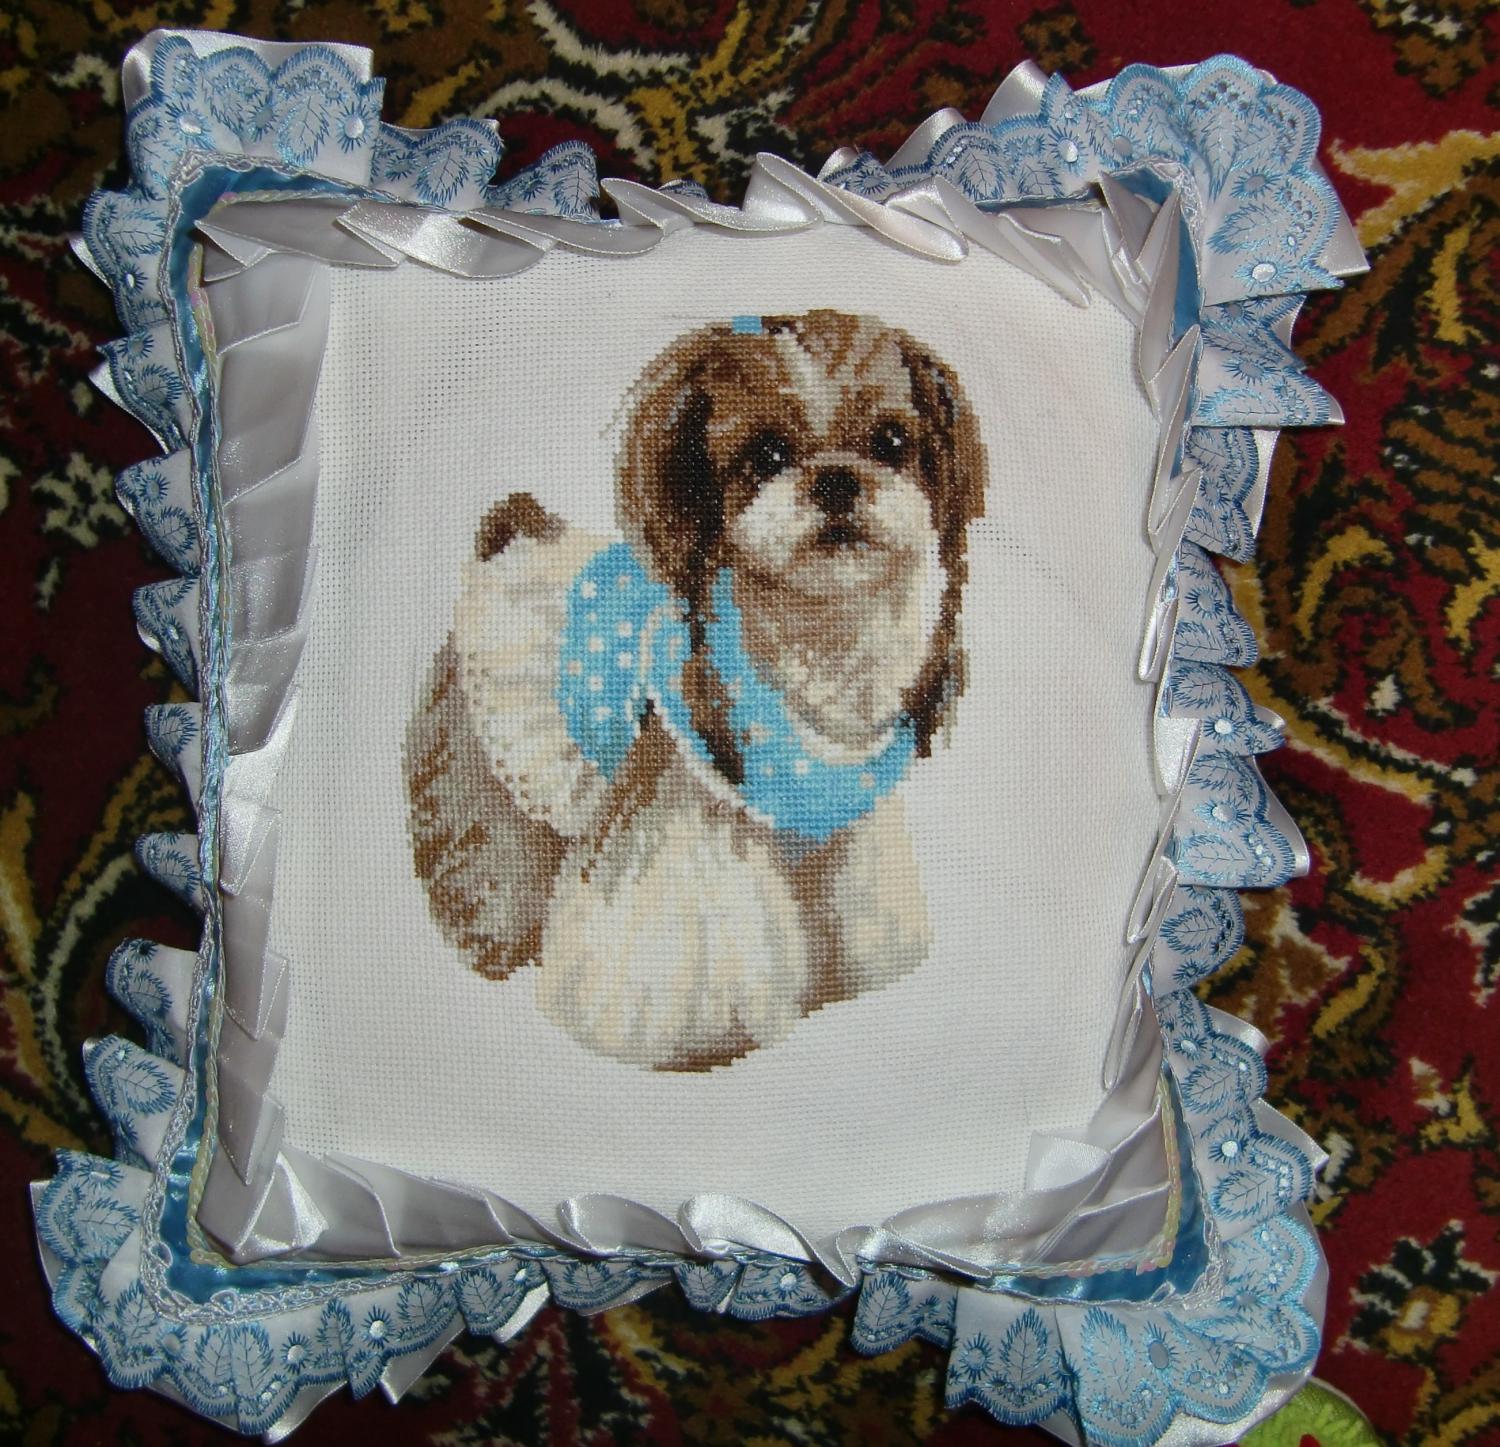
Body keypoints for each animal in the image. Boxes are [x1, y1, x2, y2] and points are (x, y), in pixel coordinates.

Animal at [405, 310, 987, 1070]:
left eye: (891, 441)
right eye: (766, 454)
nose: (835, 479)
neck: (814, 646)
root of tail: (519, 529)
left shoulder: (851, 842)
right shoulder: (683, 826)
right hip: (484, 787)